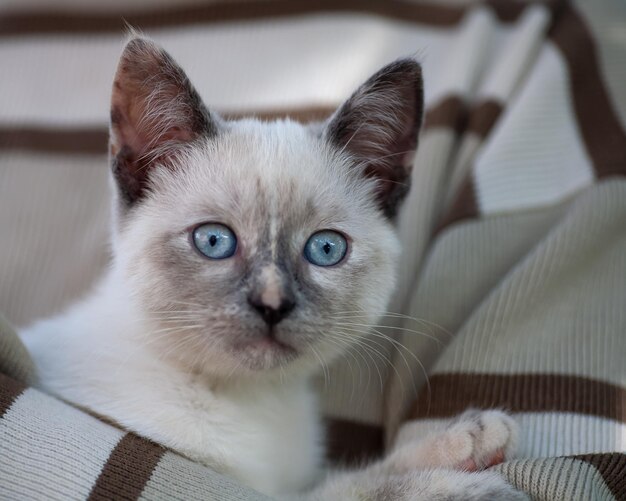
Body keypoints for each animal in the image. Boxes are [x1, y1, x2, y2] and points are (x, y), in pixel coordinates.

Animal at [19, 37, 524, 498]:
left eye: (325, 249)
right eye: (214, 241)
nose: (272, 304)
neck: (253, 403)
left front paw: (467, 443)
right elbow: (350, 489)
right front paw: (459, 466)